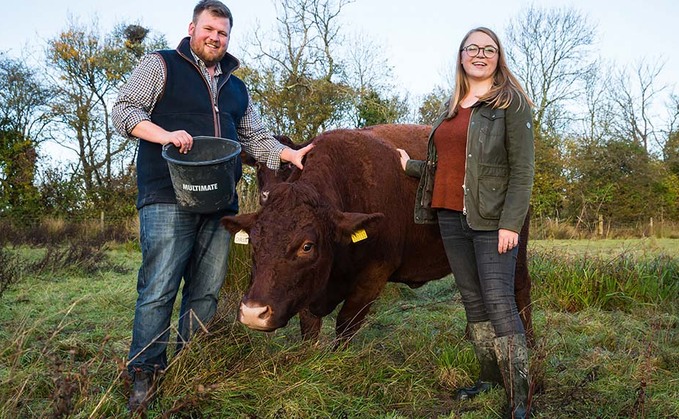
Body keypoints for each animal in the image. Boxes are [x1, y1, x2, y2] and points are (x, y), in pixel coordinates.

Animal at [223, 124, 532, 344]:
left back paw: (527, 341)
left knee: (520, 288)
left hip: (512, 247)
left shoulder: (375, 274)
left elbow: (346, 323)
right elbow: (309, 327)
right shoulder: (309, 289)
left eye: (307, 246)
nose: (253, 313)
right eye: (254, 242)